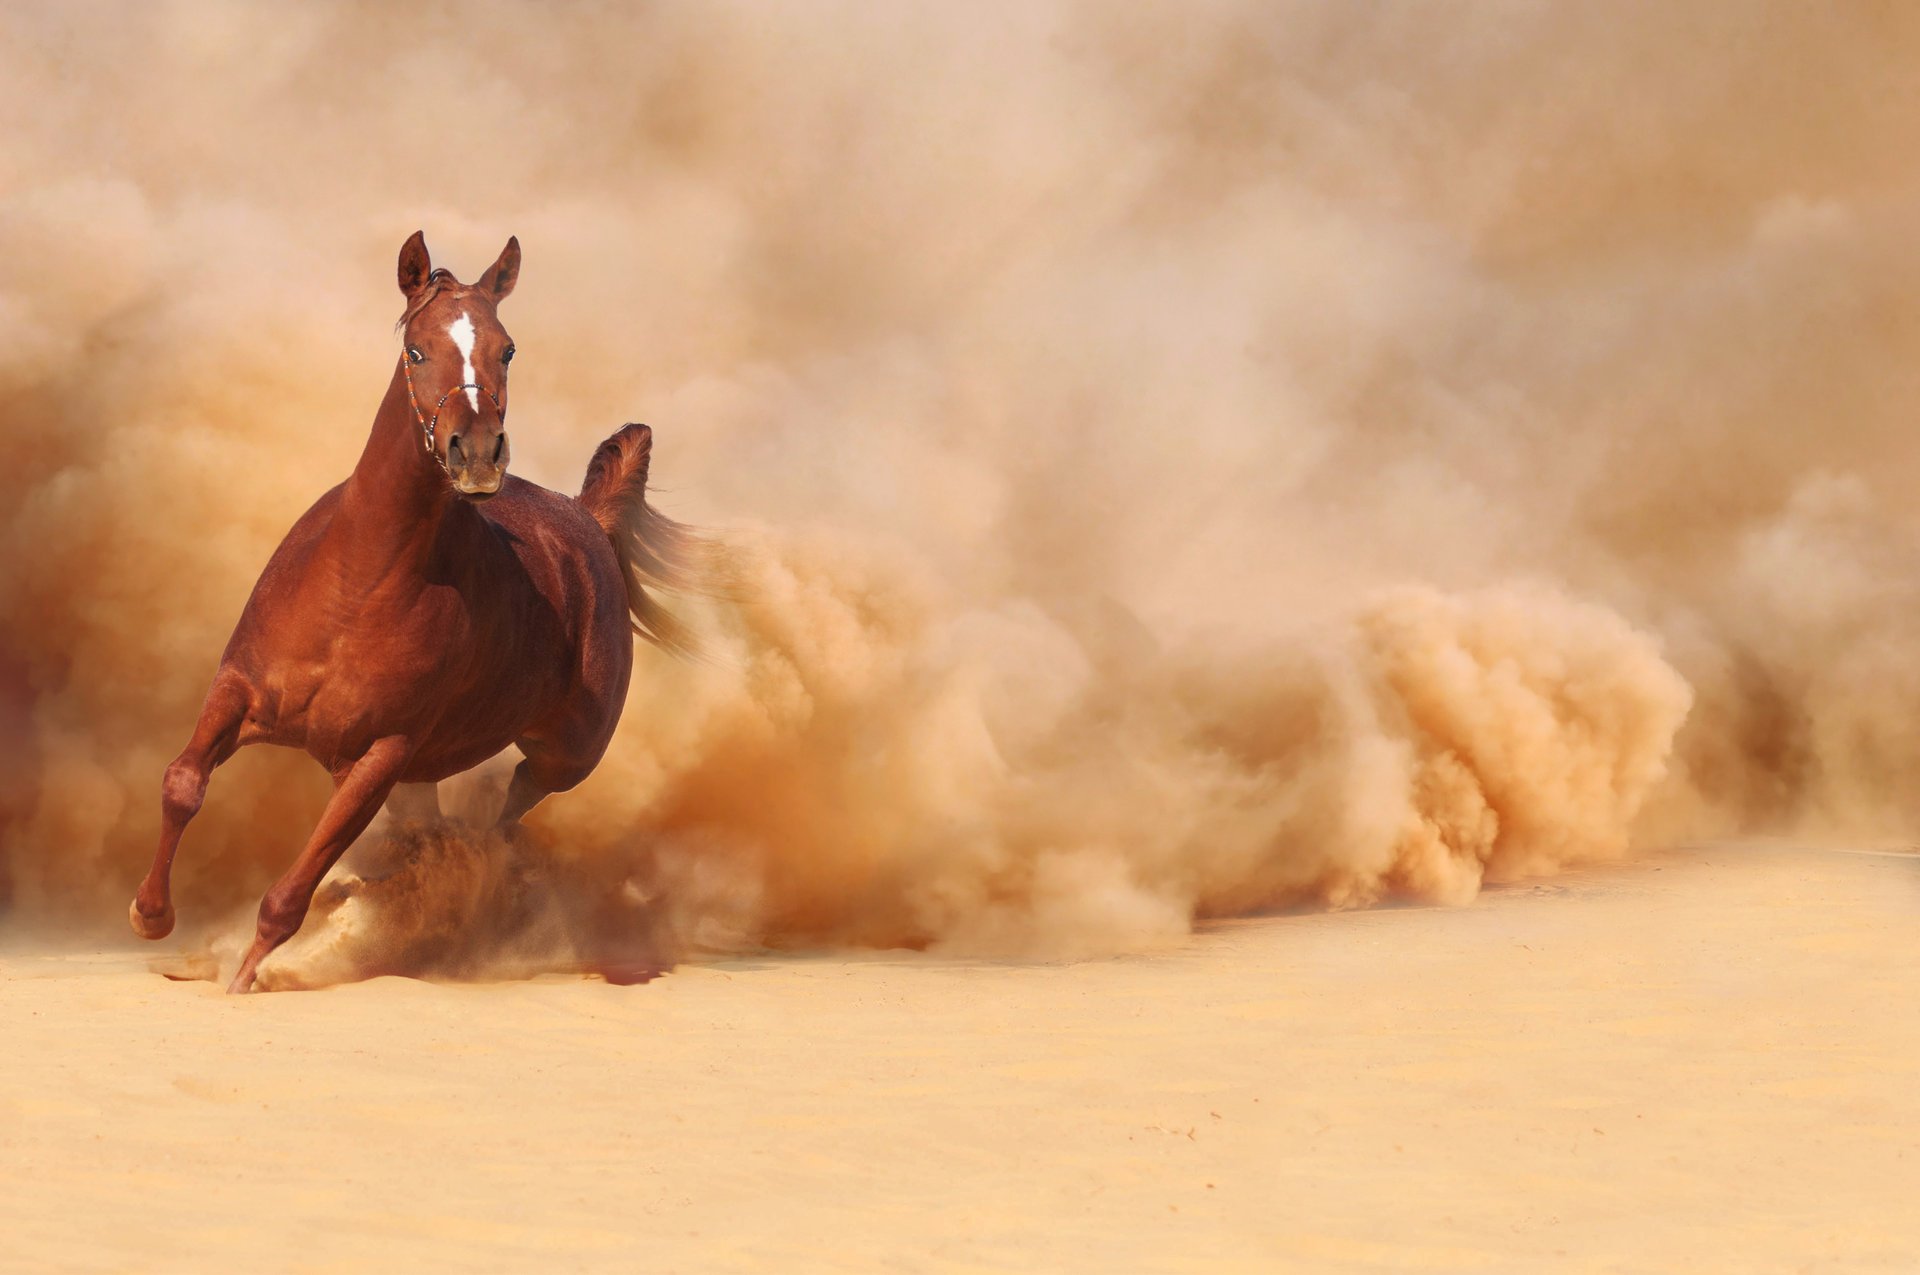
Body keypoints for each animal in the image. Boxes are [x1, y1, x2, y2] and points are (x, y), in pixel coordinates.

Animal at [128, 231, 697, 993]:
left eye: (506, 348)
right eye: (419, 349)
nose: (477, 454)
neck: (357, 587)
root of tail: (588, 519)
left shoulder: (381, 754)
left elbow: (292, 889)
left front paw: (245, 976)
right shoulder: (239, 689)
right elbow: (183, 783)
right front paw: (150, 914)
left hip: (564, 753)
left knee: (507, 811)